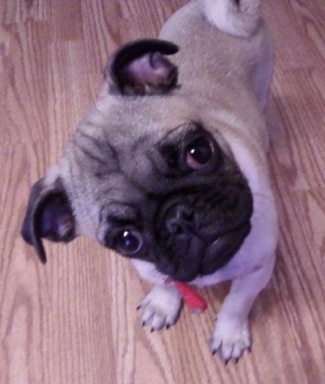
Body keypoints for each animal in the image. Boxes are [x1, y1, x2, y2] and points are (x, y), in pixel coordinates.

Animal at [21, 0, 278, 364]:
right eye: (128, 241)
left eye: (199, 152)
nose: (181, 218)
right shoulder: (151, 269)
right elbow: (165, 283)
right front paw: (163, 303)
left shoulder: (258, 268)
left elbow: (237, 303)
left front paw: (229, 334)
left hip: (263, 84)